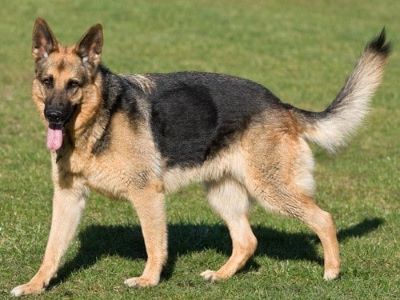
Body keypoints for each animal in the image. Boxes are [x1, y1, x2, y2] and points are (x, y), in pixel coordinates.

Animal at [10, 18, 390, 296]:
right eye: (47, 81)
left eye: (74, 85)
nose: (53, 117)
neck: (98, 120)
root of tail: (281, 105)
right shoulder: (69, 197)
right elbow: (52, 249)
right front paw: (35, 285)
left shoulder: (147, 195)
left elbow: (154, 244)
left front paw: (148, 281)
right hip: (223, 194)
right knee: (247, 241)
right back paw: (221, 276)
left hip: (271, 190)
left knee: (324, 218)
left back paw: (331, 271)